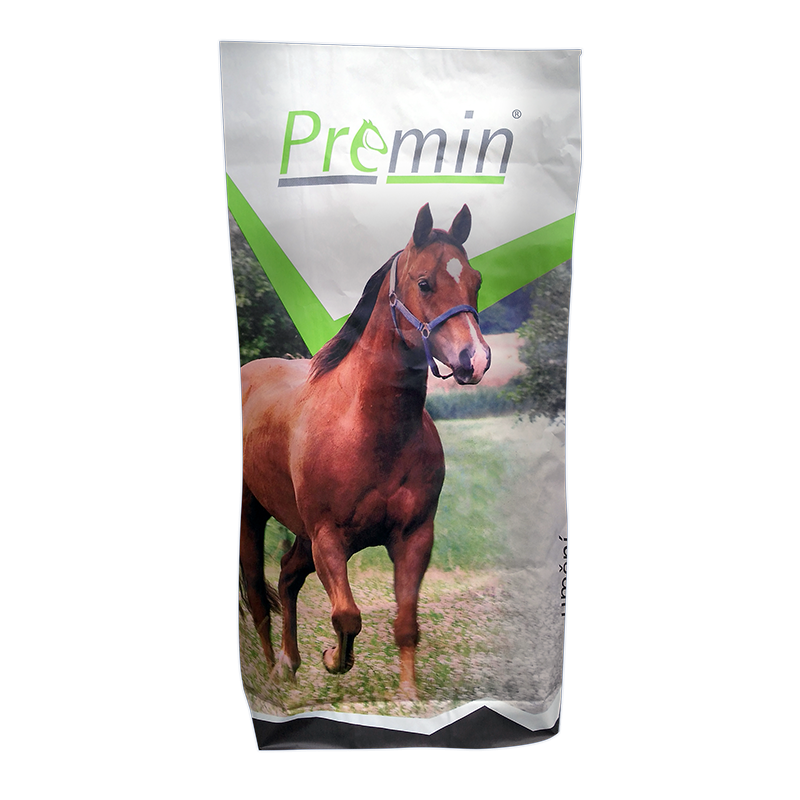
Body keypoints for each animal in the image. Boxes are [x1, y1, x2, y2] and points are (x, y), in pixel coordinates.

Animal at [239, 203, 491, 700]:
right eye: (424, 282)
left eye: (475, 280)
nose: (476, 359)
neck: (370, 431)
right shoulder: (328, 538)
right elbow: (347, 616)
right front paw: (333, 659)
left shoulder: (414, 537)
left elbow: (406, 622)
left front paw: (408, 696)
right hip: (252, 516)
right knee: (259, 595)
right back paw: (273, 674)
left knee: (287, 576)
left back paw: (289, 663)